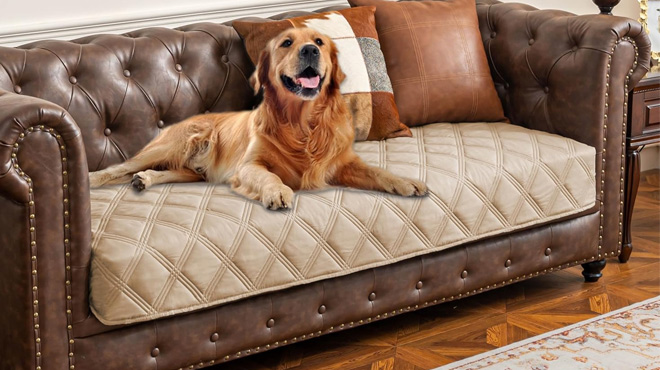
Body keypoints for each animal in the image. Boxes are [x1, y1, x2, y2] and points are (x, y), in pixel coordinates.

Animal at [89, 27, 428, 210]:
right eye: (286, 43)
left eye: (319, 42)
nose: (309, 50)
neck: (303, 124)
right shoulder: (249, 166)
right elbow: (269, 176)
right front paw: (276, 192)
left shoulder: (342, 163)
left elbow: (378, 172)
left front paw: (406, 182)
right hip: (173, 145)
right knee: (122, 166)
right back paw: (94, 179)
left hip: (193, 172)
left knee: (170, 172)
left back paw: (145, 179)